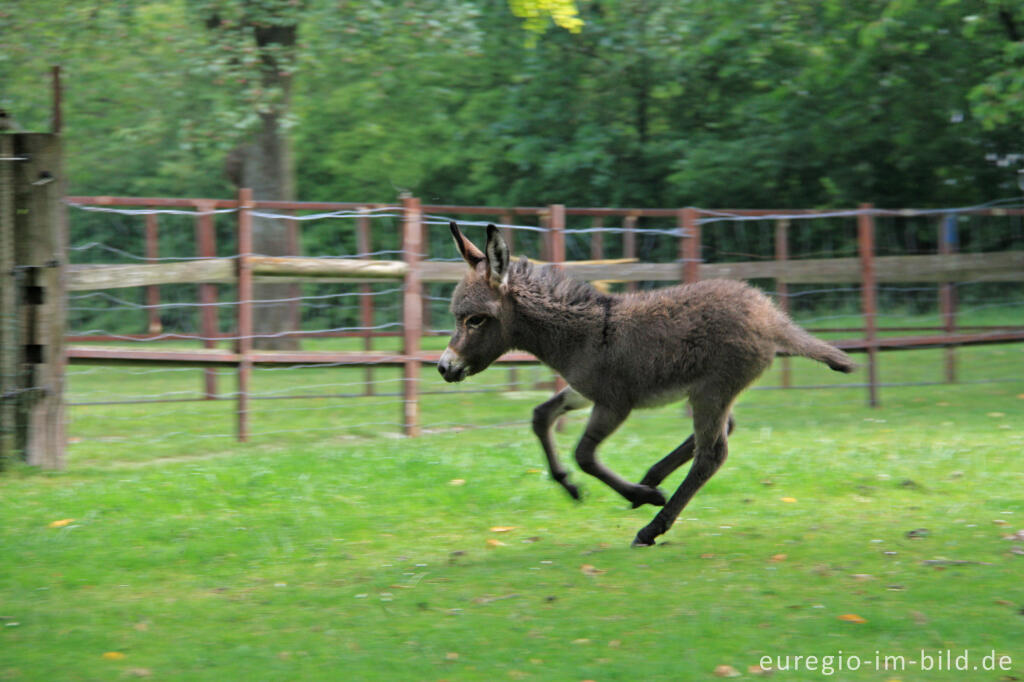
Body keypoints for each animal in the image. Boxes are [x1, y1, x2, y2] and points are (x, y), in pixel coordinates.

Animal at [436, 223, 851, 548]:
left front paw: (643, 495)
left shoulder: (613, 404)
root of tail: (771, 315)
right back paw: (652, 478)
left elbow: (585, 455)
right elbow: (541, 417)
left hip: (712, 389)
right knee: (722, 431)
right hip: (709, 392)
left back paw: (652, 524)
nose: (443, 368)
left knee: (712, 454)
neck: (579, 334)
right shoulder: (582, 391)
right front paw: (570, 486)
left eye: (475, 320)